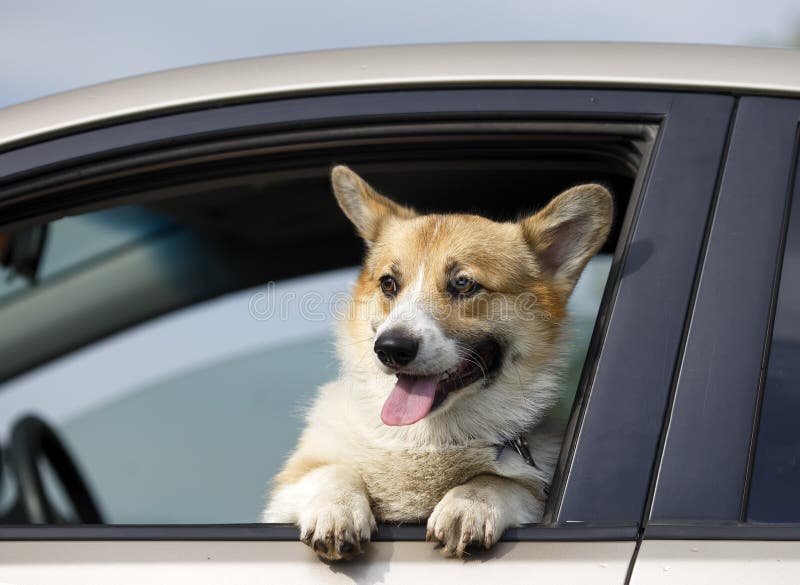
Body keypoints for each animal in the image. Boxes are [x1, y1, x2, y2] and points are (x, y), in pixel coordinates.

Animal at [262, 167, 612, 560]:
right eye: (388, 283)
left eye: (463, 284)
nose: (391, 348)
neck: (427, 439)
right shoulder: (295, 483)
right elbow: (333, 471)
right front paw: (336, 510)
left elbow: (496, 480)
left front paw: (468, 504)